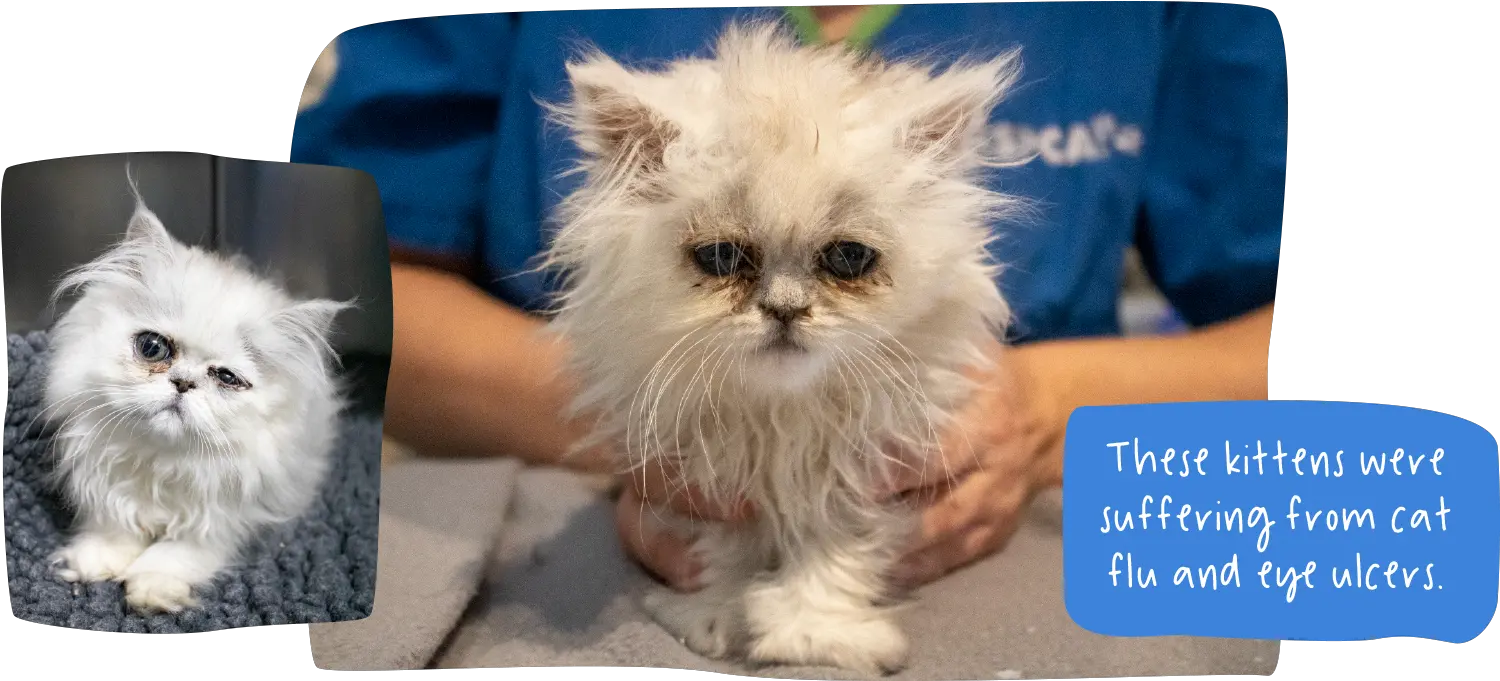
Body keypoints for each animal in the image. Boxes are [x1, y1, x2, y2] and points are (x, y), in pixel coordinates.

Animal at [43, 167, 351, 615]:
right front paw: (94, 563)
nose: (184, 382)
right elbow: (113, 527)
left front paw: (151, 591)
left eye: (226, 377)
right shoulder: (105, 482)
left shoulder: (224, 520)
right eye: (153, 348)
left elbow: (176, 553)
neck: (162, 462)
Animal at [546, 21, 1026, 675]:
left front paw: (812, 636)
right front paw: (717, 619)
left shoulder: (857, 469)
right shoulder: (706, 476)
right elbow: (729, 554)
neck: (781, 420)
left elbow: (831, 553)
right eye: (721, 257)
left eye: (847, 258)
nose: (785, 310)